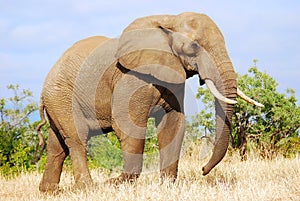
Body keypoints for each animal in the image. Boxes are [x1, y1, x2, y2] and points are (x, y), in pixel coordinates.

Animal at [37, 11, 262, 192]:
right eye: (194, 46)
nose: (203, 169)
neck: (169, 19)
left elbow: (173, 124)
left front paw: (167, 186)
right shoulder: (131, 77)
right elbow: (128, 126)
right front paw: (114, 184)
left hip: (57, 99)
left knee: (57, 146)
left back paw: (50, 191)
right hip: (61, 95)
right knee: (77, 137)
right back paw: (87, 188)